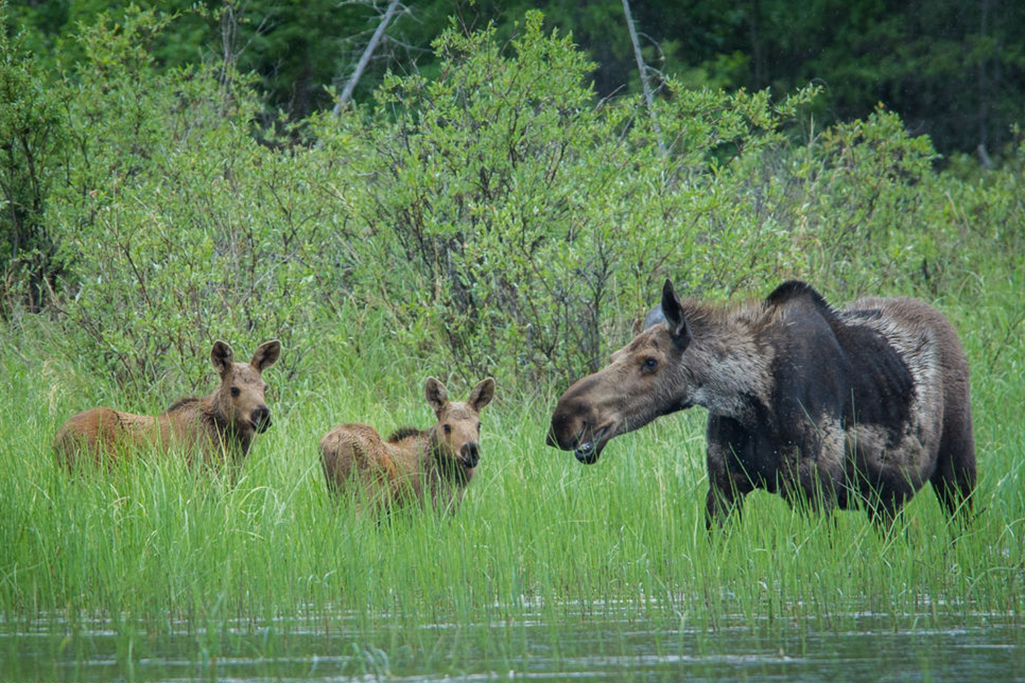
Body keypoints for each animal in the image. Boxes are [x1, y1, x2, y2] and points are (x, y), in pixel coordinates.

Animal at [545, 276, 975, 525]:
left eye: (650, 361)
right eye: (615, 355)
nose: (564, 419)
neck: (749, 401)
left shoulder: (815, 493)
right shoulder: (723, 489)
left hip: (957, 467)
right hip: (884, 503)